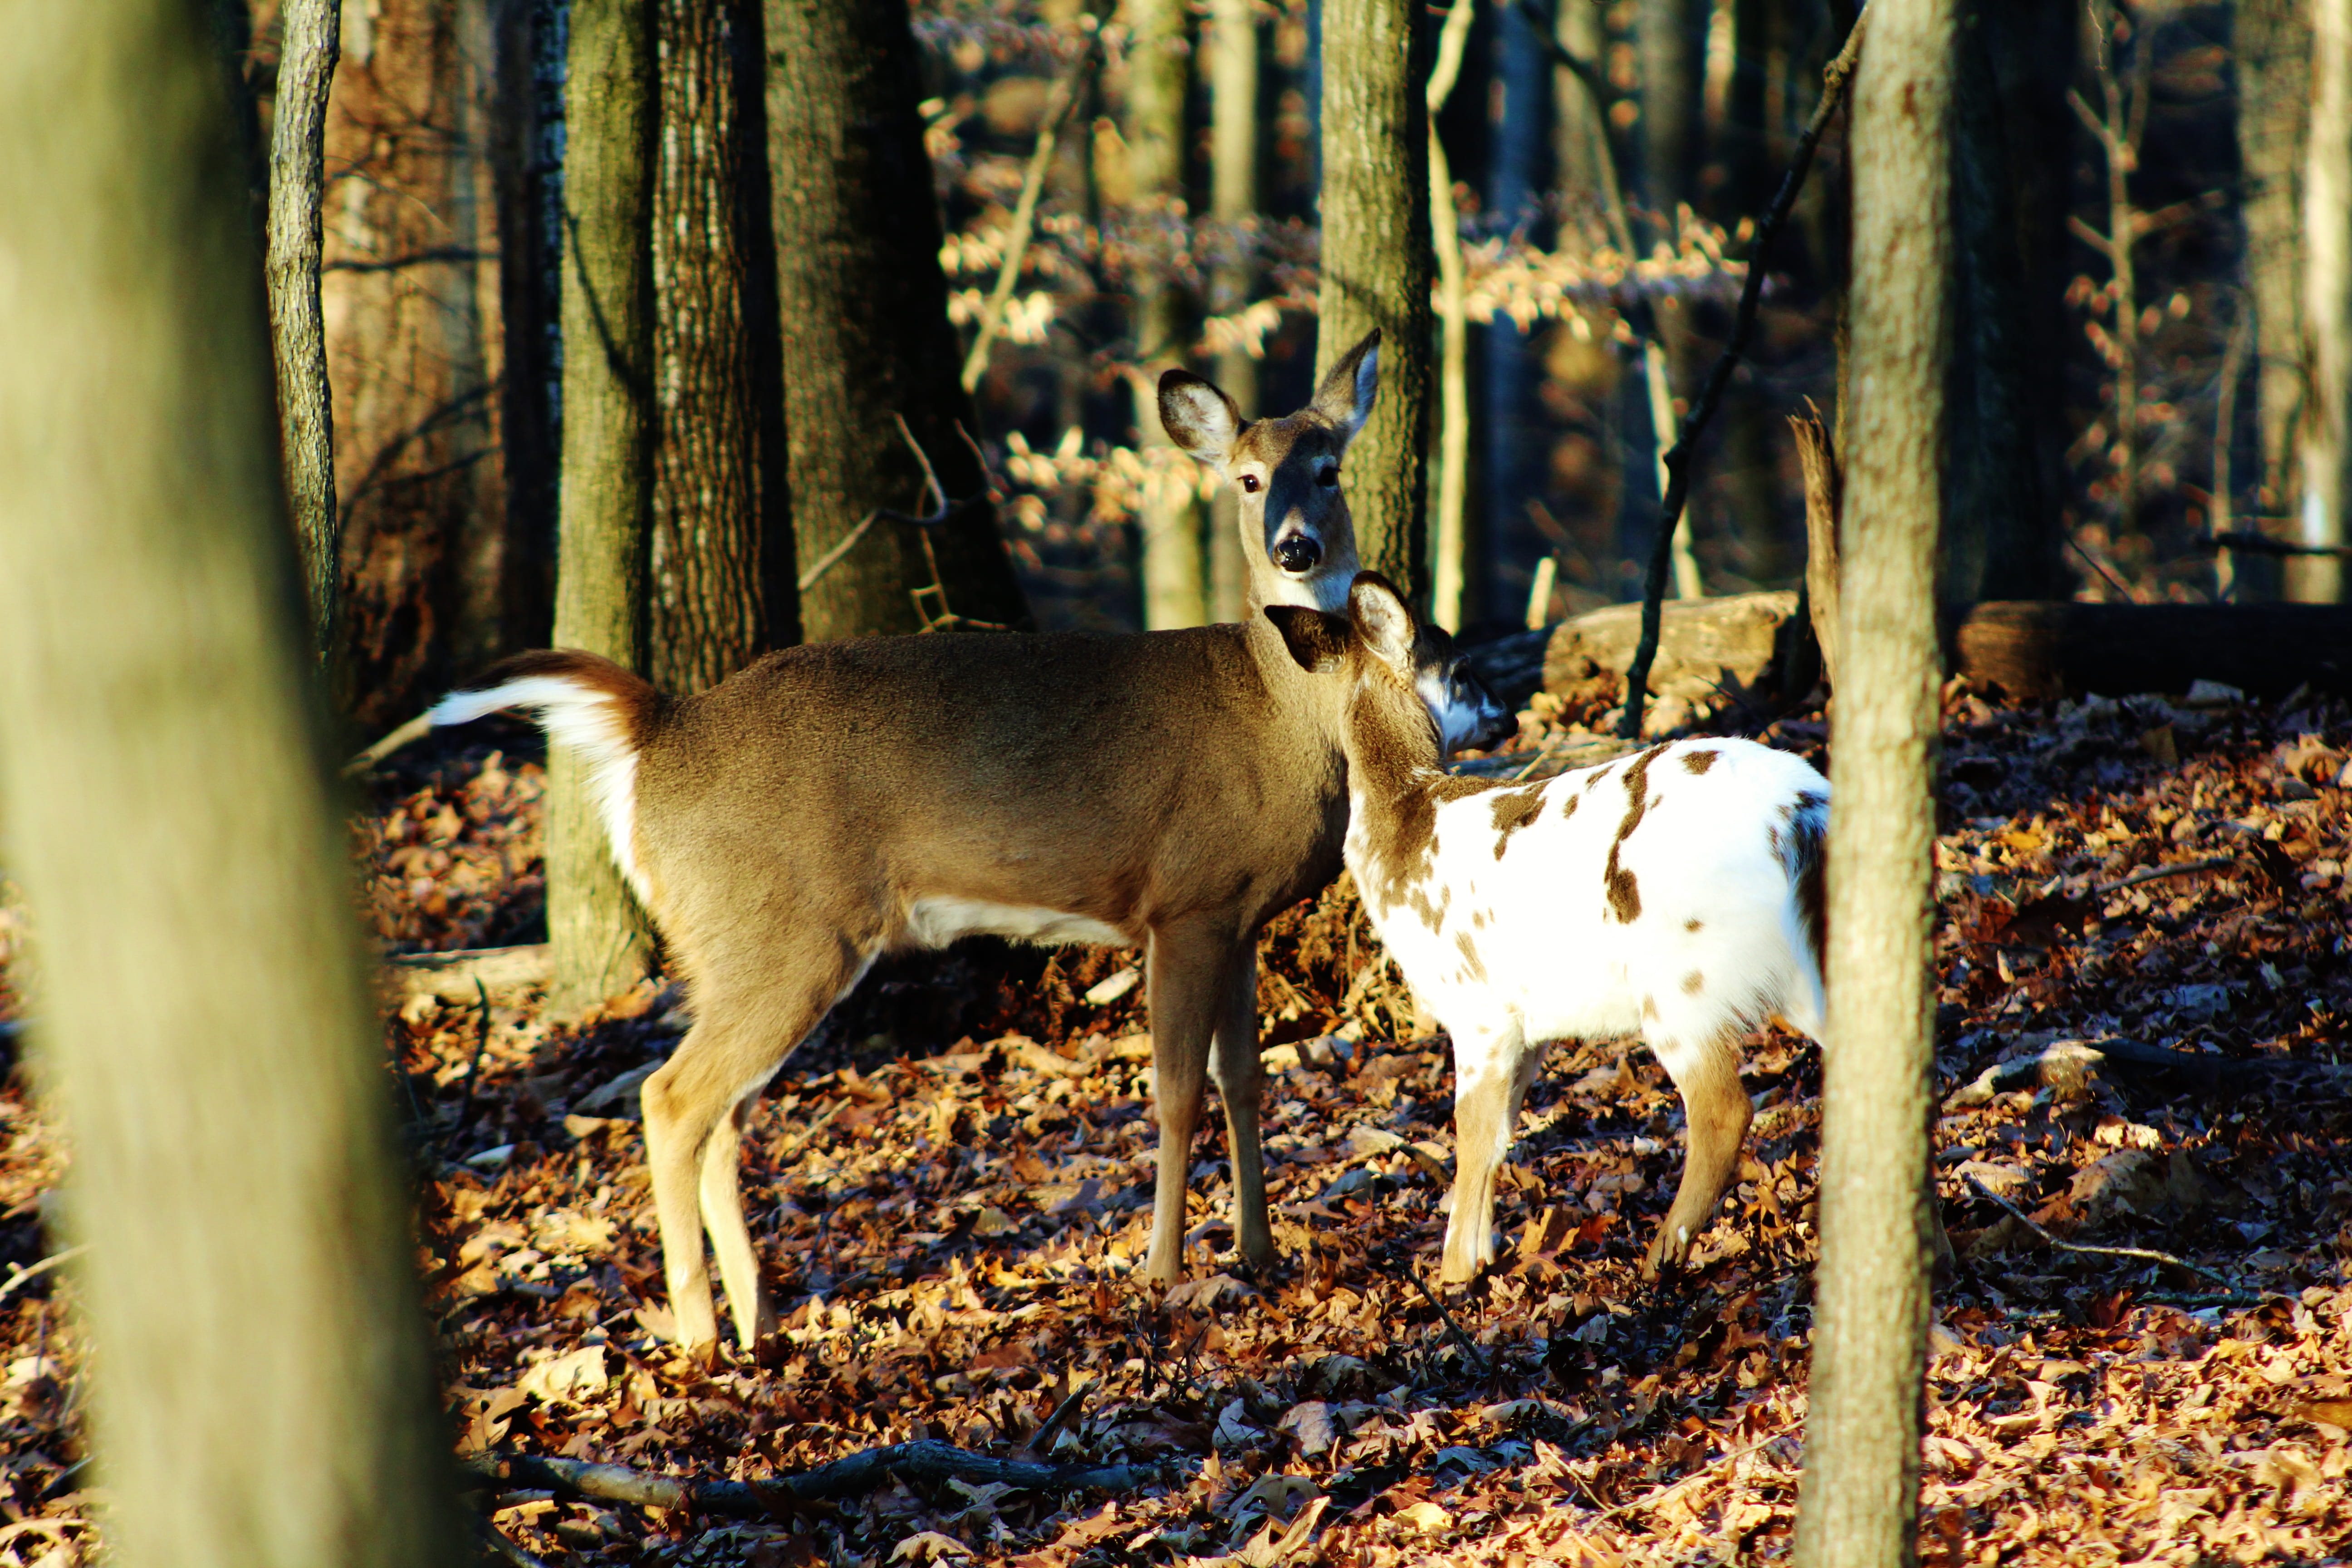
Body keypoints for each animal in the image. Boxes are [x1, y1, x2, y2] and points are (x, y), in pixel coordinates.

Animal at [420, 331, 1515, 1350]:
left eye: (1327, 466)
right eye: (1247, 477)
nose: (1294, 548)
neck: (1283, 710)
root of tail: (659, 729)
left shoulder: (1238, 917)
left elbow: (1243, 1081)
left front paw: (1259, 1254)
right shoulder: (1181, 903)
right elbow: (1172, 1093)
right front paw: (1163, 1270)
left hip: (744, 942)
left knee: (722, 1117)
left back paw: (757, 1322)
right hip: (777, 928)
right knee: (671, 1098)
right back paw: (699, 1338)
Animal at [1267, 574, 1829, 1285]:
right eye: (1464, 668)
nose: (1509, 717)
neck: (1408, 821)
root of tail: (1801, 811)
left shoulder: (1477, 1007)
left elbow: (1471, 1134)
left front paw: (1454, 1276)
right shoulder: (1528, 1025)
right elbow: (1502, 1135)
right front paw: (1481, 1260)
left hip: (1682, 976)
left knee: (1723, 1110)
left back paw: (1656, 1263)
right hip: (1799, 965)